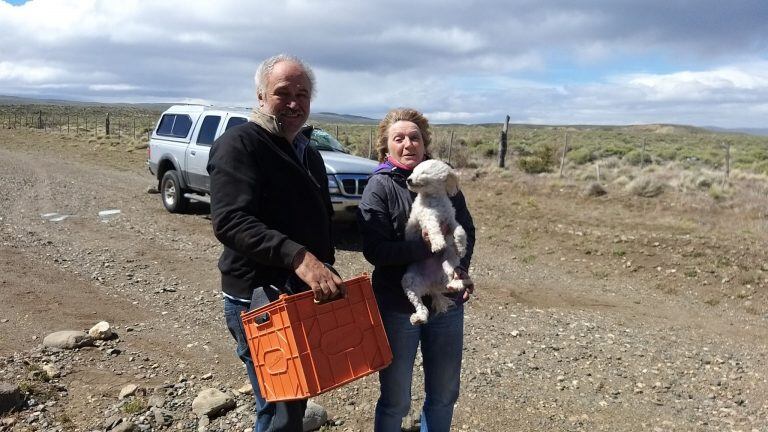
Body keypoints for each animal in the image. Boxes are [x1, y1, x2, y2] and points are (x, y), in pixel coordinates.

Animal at [400, 159, 472, 324]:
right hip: (409, 281)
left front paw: (461, 247)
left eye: (423, 172)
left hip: (448, 262)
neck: (434, 199)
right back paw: (419, 317)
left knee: (449, 281)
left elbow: (460, 231)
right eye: (413, 171)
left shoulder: (450, 220)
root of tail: (431, 286)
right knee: (420, 305)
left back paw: (459, 283)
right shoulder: (427, 218)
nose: (408, 180)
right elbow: (433, 229)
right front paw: (438, 243)